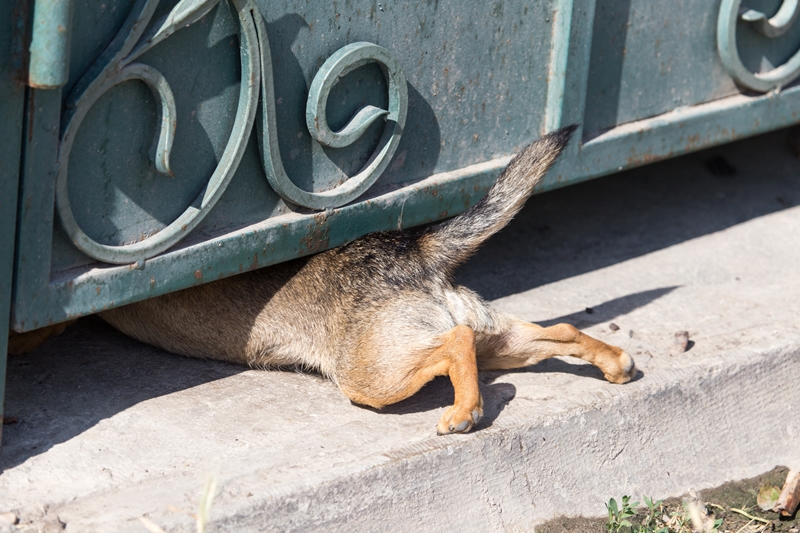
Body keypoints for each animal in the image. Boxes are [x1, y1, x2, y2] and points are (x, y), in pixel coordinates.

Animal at [9, 127, 636, 434]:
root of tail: (415, 248)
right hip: (499, 339)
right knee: (558, 331)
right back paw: (615, 364)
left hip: (374, 374)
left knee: (454, 347)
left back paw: (463, 412)